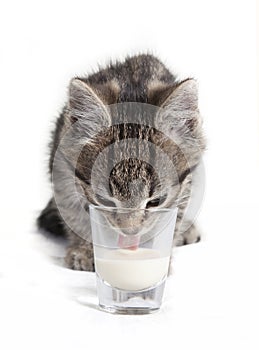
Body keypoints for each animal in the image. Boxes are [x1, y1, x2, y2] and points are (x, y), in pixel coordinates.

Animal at [37, 54, 206, 272]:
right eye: (105, 201)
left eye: (156, 201)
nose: (130, 231)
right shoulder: (62, 167)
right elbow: (74, 212)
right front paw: (85, 249)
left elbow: (172, 217)